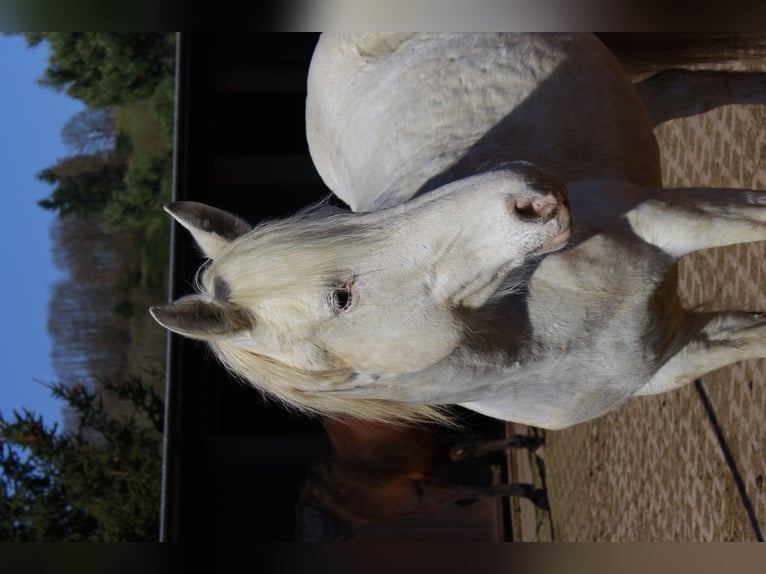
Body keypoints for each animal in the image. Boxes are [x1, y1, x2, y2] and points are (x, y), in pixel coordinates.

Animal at [151, 33, 766, 429]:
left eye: (342, 219)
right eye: (341, 298)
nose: (528, 194)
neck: (545, 340)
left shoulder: (671, 218)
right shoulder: (684, 350)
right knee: (683, 89)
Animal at [294, 416, 546, 541]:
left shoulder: (434, 450)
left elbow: (467, 450)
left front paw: (528, 442)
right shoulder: (425, 493)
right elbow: (474, 488)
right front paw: (532, 494)